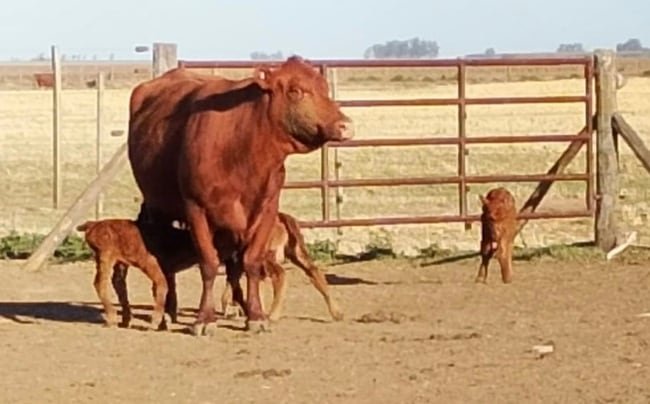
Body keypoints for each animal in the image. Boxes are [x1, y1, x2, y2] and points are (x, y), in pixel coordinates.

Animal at [128, 55, 353, 335]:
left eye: (325, 89)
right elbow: (209, 263)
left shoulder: (266, 210)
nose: (345, 126)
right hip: (159, 210)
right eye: (295, 91)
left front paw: (255, 316)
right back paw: (168, 311)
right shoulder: (196, 210)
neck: (242, 149)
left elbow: (251, 262)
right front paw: (204, 319)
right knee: (167, 264)